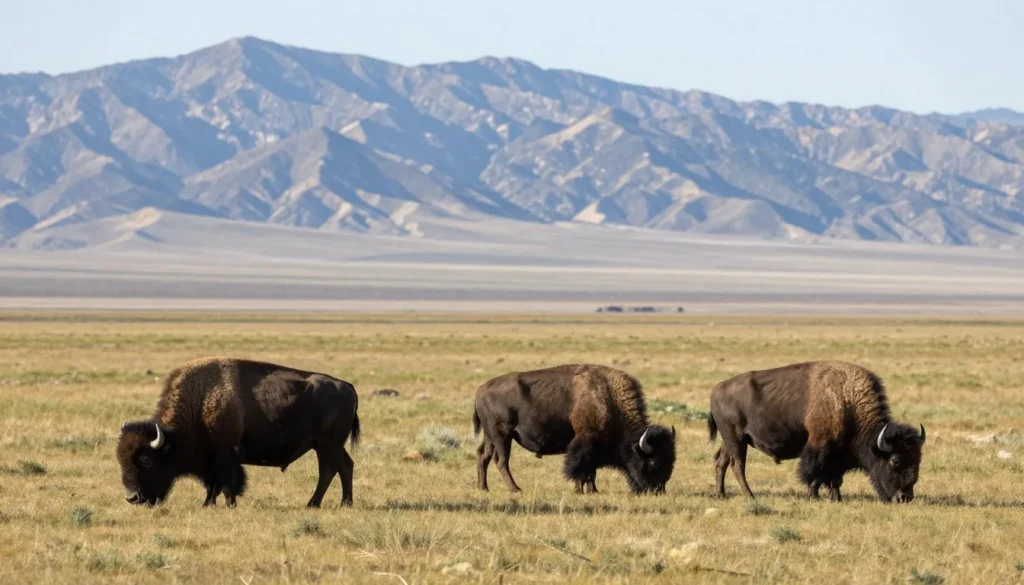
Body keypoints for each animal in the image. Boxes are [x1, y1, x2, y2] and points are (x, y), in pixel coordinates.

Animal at [116, 357, 360, 508]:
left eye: (146, 460)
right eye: (120, 460)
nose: (131, 498)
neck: (199, 403)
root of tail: (347, 386)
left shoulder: (226, 455)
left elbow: (226, 482)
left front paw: (228, 504)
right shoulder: (211, 461)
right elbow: (213, 484)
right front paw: (207, 504)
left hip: (327, 444)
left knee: (328, 470)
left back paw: (312, 504)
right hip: (330, 445)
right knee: (345, 466)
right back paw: (345, 503)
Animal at [473, 364, 676, 494]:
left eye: (672, 460)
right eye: (654, 462)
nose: (658, 490)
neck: (607, 398)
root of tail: (480, 390)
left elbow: (590, 470)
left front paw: (592, 491)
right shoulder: (584, 443)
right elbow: (582, 468)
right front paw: (583, 490)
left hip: (490, 436)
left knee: (484, 456)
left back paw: (483, 488)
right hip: (502, 435)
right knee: (501, 461)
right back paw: (515, 489)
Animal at [708, 360, 925, 503]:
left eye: (917, 459)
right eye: (894, 460)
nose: (905, 497)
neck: (847, 402)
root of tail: (716, 389)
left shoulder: (838, 455)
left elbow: (835, 479)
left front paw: (836, 498)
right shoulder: (819, 446)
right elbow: (815, 474)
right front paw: (813, 496)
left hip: (731, 439)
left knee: (721, 461)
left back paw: (721, 495)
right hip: (735, 438)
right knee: (737, 465)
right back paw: (750, 496)